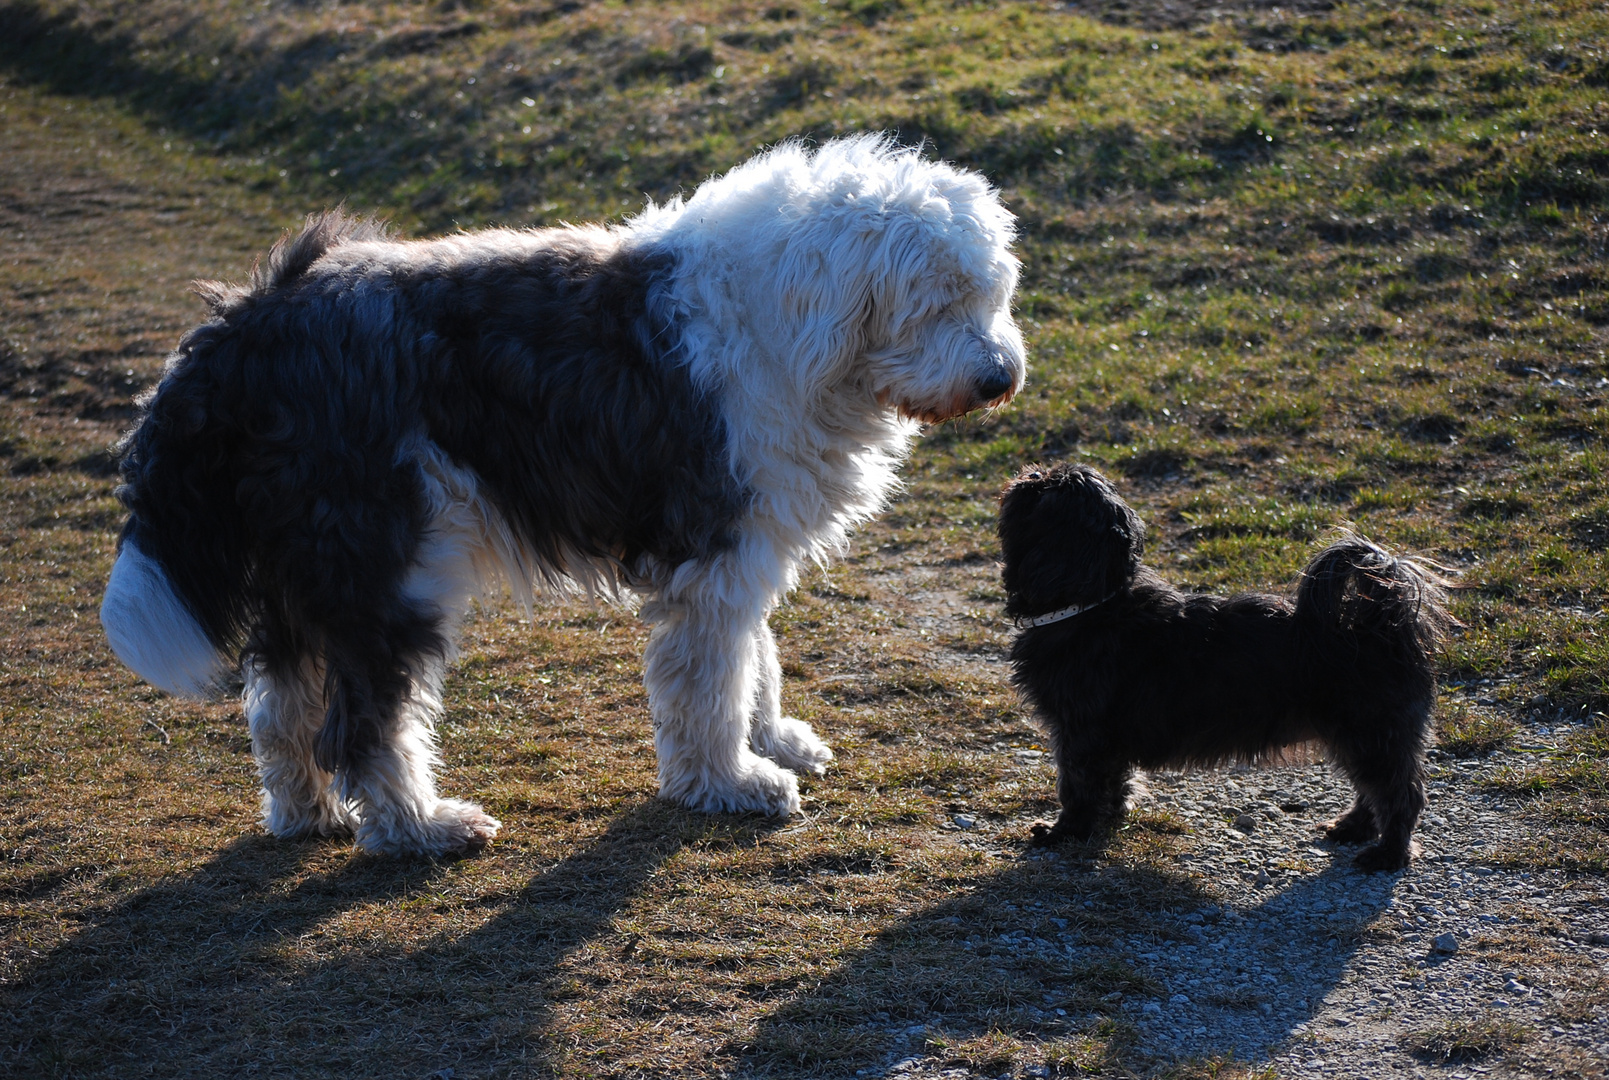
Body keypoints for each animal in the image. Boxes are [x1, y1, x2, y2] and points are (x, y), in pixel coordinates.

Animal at [100, 139, 1023, 856]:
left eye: (990, 293)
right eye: (935, 300)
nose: (999, 378)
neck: (790, 323)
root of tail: (243, 323)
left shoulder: (743, 546)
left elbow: (752, 656)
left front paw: (772, 741)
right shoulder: (712, 546)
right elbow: (710, 680)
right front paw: (728, 780)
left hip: (310, 562)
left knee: (280, 705)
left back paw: (306, 814)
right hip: (384, 565)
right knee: (365, 725)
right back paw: (420, 827)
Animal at [997, 463, 1454, 869]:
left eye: (1046, 493)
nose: (1032, 473)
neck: (1091, 602)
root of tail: (1382, 624)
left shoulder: (1080, 733)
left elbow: (1075, 786)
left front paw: (1065, 832)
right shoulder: (1103, 740)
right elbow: (1113, 781)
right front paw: (1109, 817)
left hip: (1371, 732)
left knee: (1399, 794)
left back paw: (1388, 854)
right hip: (1358, 735)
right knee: (1372, 789)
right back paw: (1353, 827)